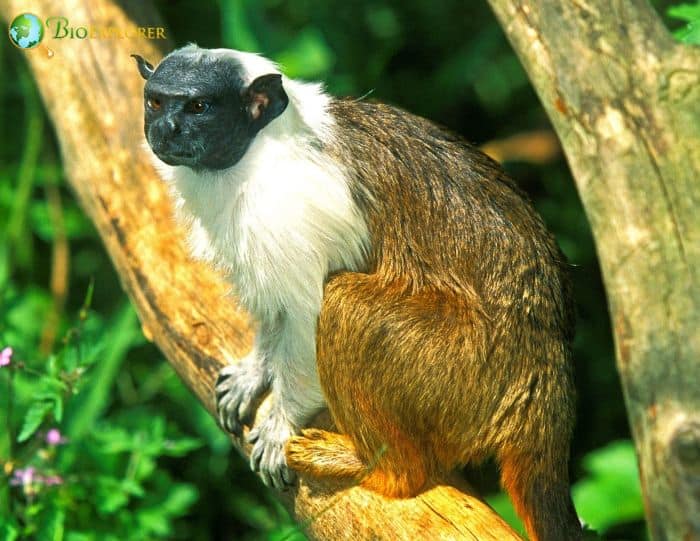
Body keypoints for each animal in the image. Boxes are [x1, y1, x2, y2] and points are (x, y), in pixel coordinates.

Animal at [134, 46, 584, 540]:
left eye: (198, 107)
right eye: (156, 102)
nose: (164, 129)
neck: (257, 151)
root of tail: (543, 371)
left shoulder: (290, 212)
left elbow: (307, 311)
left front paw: (281, 422)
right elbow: (276, 309)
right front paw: (257, 370)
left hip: (468, 374)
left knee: (344, 303)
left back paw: (383, 468)